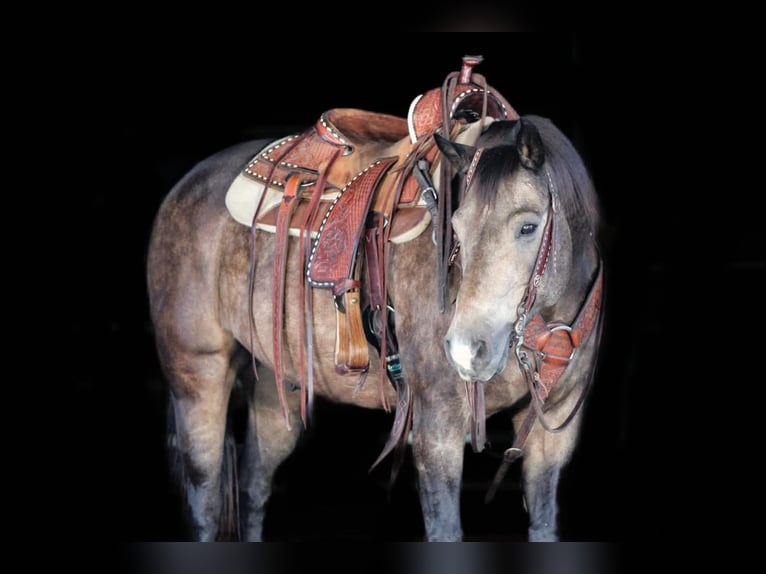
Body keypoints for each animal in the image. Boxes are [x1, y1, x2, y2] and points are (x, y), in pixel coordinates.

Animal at [146, 57, 604, 541]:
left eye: (528, 227)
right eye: (455, 228)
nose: (466, 349)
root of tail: (184, 187)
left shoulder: (553, 434)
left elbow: (544, 525)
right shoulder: (437, 425)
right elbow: (445, 529)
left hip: (275, 383)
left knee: (254, 486)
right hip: (197, 374)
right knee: (206, 500)